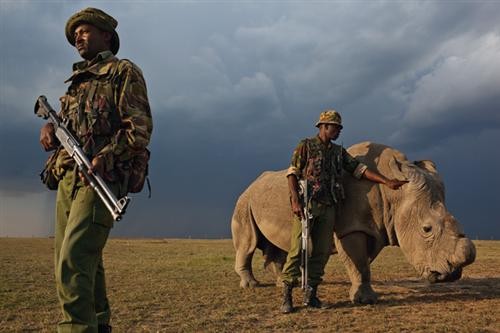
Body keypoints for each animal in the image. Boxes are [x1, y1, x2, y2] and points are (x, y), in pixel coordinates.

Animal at [231, 110, 476, 312]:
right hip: (244, 202)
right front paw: (366, 301)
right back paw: (252, 286)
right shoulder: (351, 227)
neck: (394, 196)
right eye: (426, 229)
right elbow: (358, 262)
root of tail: (249, 186)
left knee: (278, 246)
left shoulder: (374, 226)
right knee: (249, 242)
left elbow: (362, 263)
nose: (453, 274)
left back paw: (282, 282)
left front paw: (360, 295)